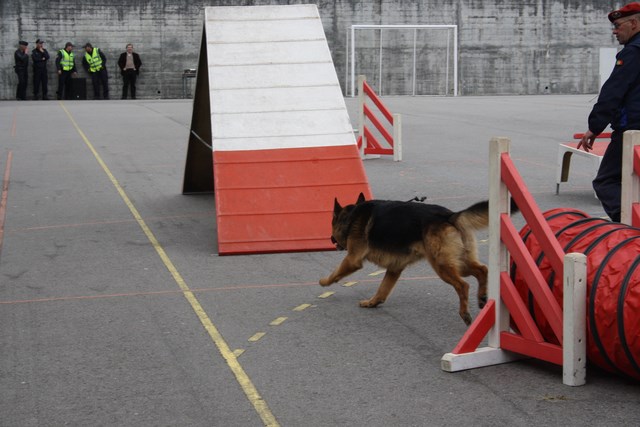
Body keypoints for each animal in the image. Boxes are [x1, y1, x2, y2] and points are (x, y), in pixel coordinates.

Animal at [320, 192, 500, 326]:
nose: (331, 239)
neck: (351, 217)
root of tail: (449, 215)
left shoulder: (352, 259)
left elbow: (336, 272)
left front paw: (324, 281)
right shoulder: (394, 269)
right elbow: (382, 289)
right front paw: (372, 302)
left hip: (441, 265)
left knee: (463, 285)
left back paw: (465, 313)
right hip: (460, 264)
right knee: (482, 270)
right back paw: (482, 298)